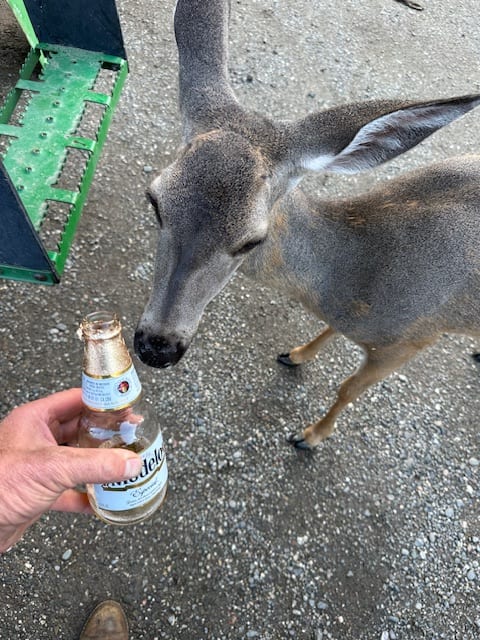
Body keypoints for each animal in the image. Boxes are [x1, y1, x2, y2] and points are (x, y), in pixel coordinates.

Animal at [134, 0, 480, 449]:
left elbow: (348, 388)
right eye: (154, 200)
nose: (157, 347)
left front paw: (310, 436)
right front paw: (296, 354)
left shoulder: (415, 336)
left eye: (252, 239)